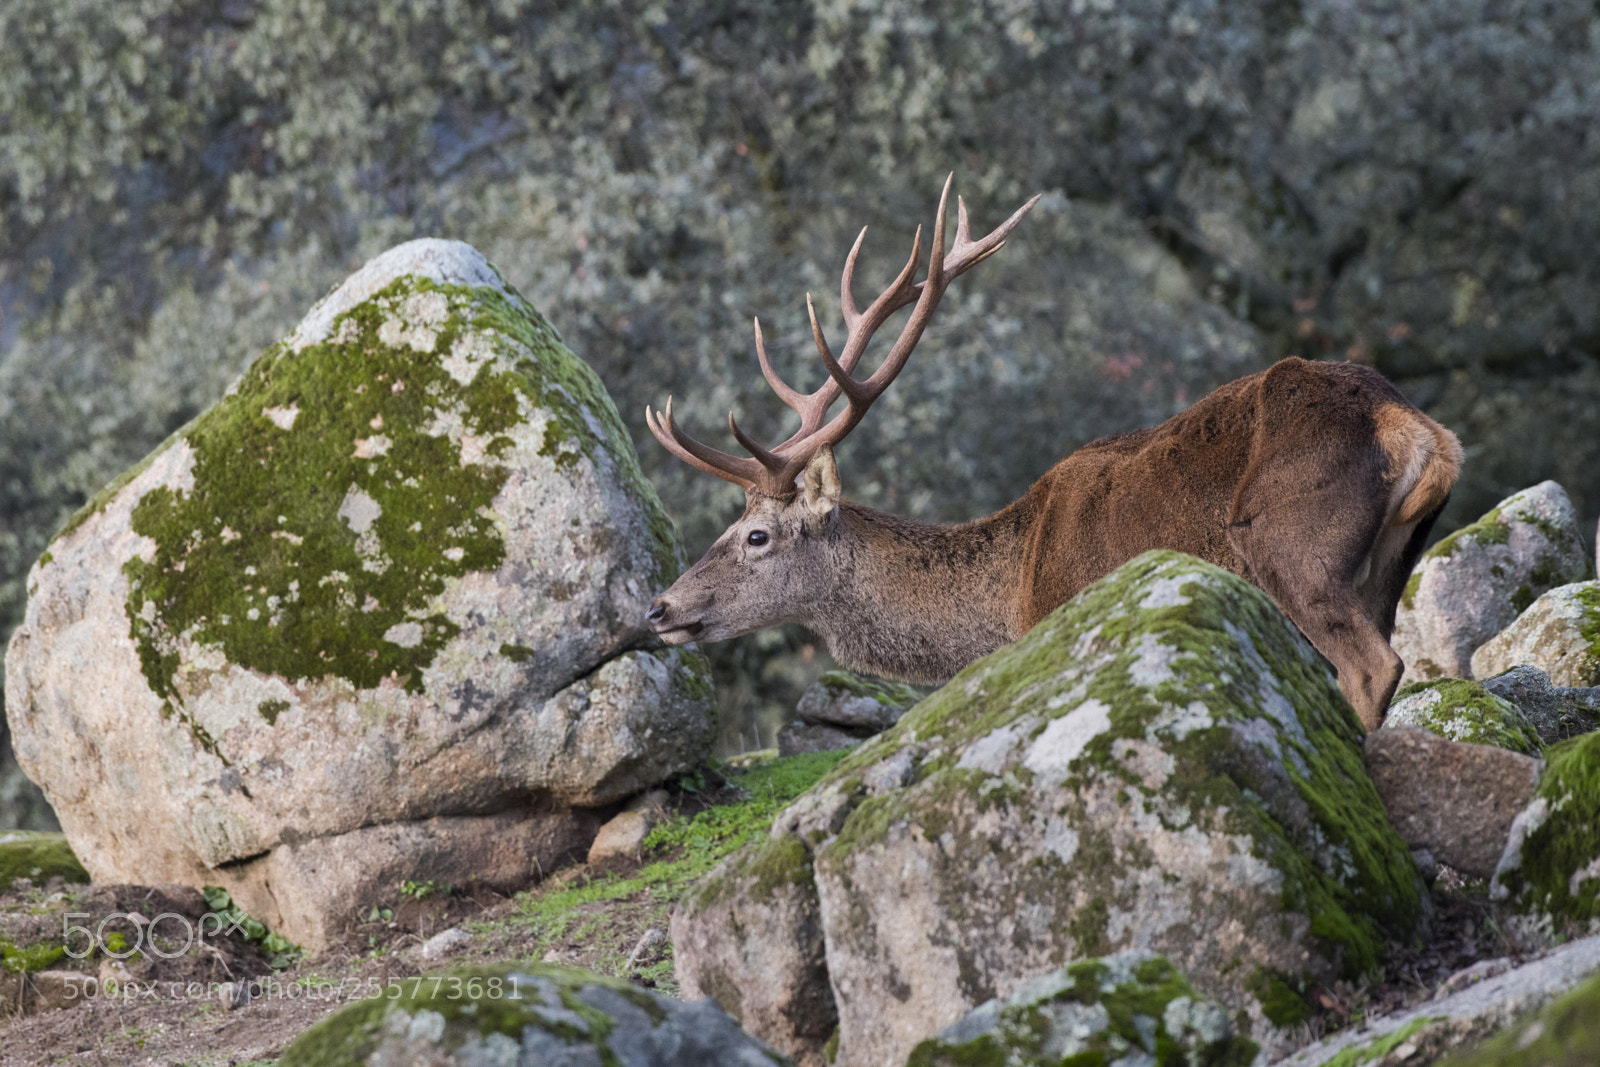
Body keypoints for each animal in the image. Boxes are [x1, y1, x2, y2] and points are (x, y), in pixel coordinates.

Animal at [643, 177, 1463, 731]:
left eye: (756, 536)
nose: (659, 608)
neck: (1011, 600)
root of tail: (1418, 428)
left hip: (1294, 544)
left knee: (1371, 666)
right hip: (1387, 566)